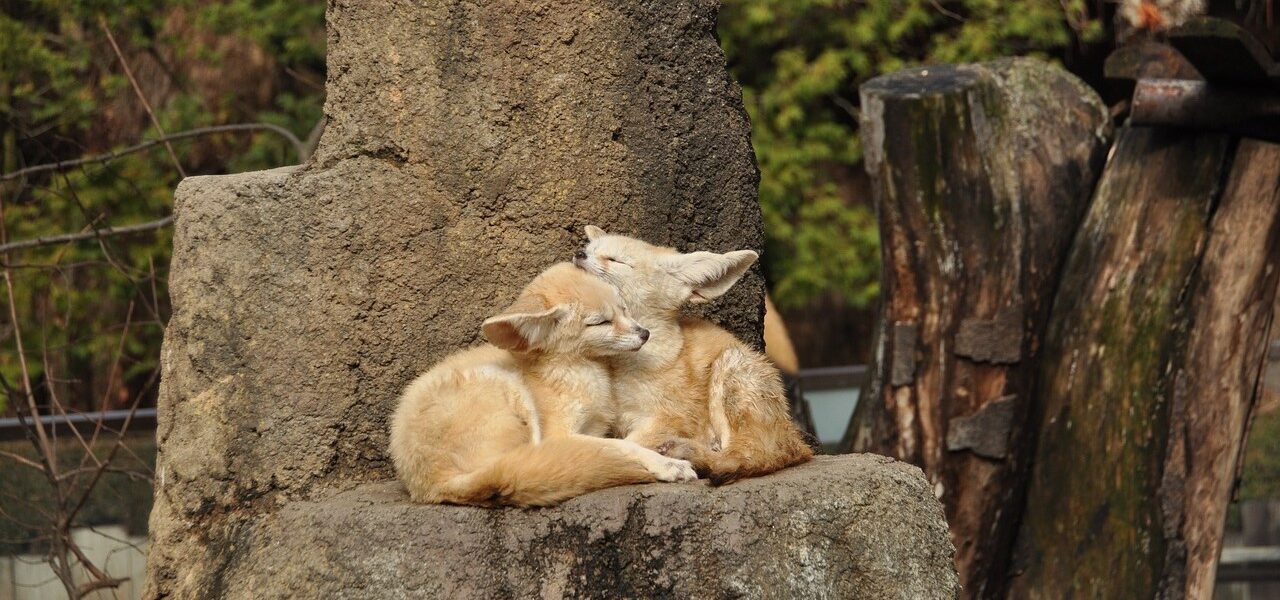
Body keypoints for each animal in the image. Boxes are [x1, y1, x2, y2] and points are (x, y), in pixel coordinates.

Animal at [386, 262, 696, 504]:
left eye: (624, 309)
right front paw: (668, 464)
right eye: (601, 322)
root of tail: (429, 484)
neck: (575, 370)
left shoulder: (591, 426)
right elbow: (622, 446)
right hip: (508, 390)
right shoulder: (559, 433)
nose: (644, 334)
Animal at [578, 225, 814, 481]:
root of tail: (795, 439)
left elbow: (626, 444)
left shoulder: (671, 417)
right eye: (590, 250)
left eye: (616, 260)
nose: (580, 254)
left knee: (749, 454)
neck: (619, 368)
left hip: (729, 370)